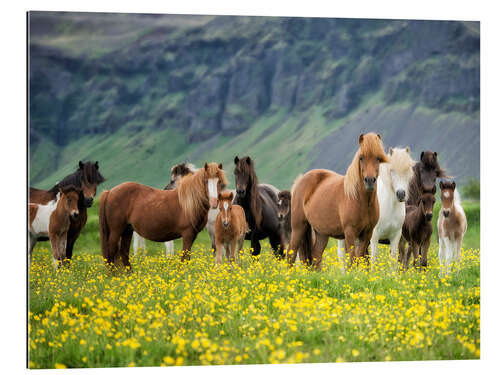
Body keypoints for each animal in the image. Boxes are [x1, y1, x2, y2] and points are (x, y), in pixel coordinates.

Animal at [288, 133, 388, 270]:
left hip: (321, 233)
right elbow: (353, 258)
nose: (369, 181)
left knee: (316, 255)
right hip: (298, 227)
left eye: (378, 158)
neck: (361, 201)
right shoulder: (350, 232)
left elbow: (360, 257)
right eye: (361, 158)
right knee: (291, 253)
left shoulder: (367, 233)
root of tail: (299, 181)